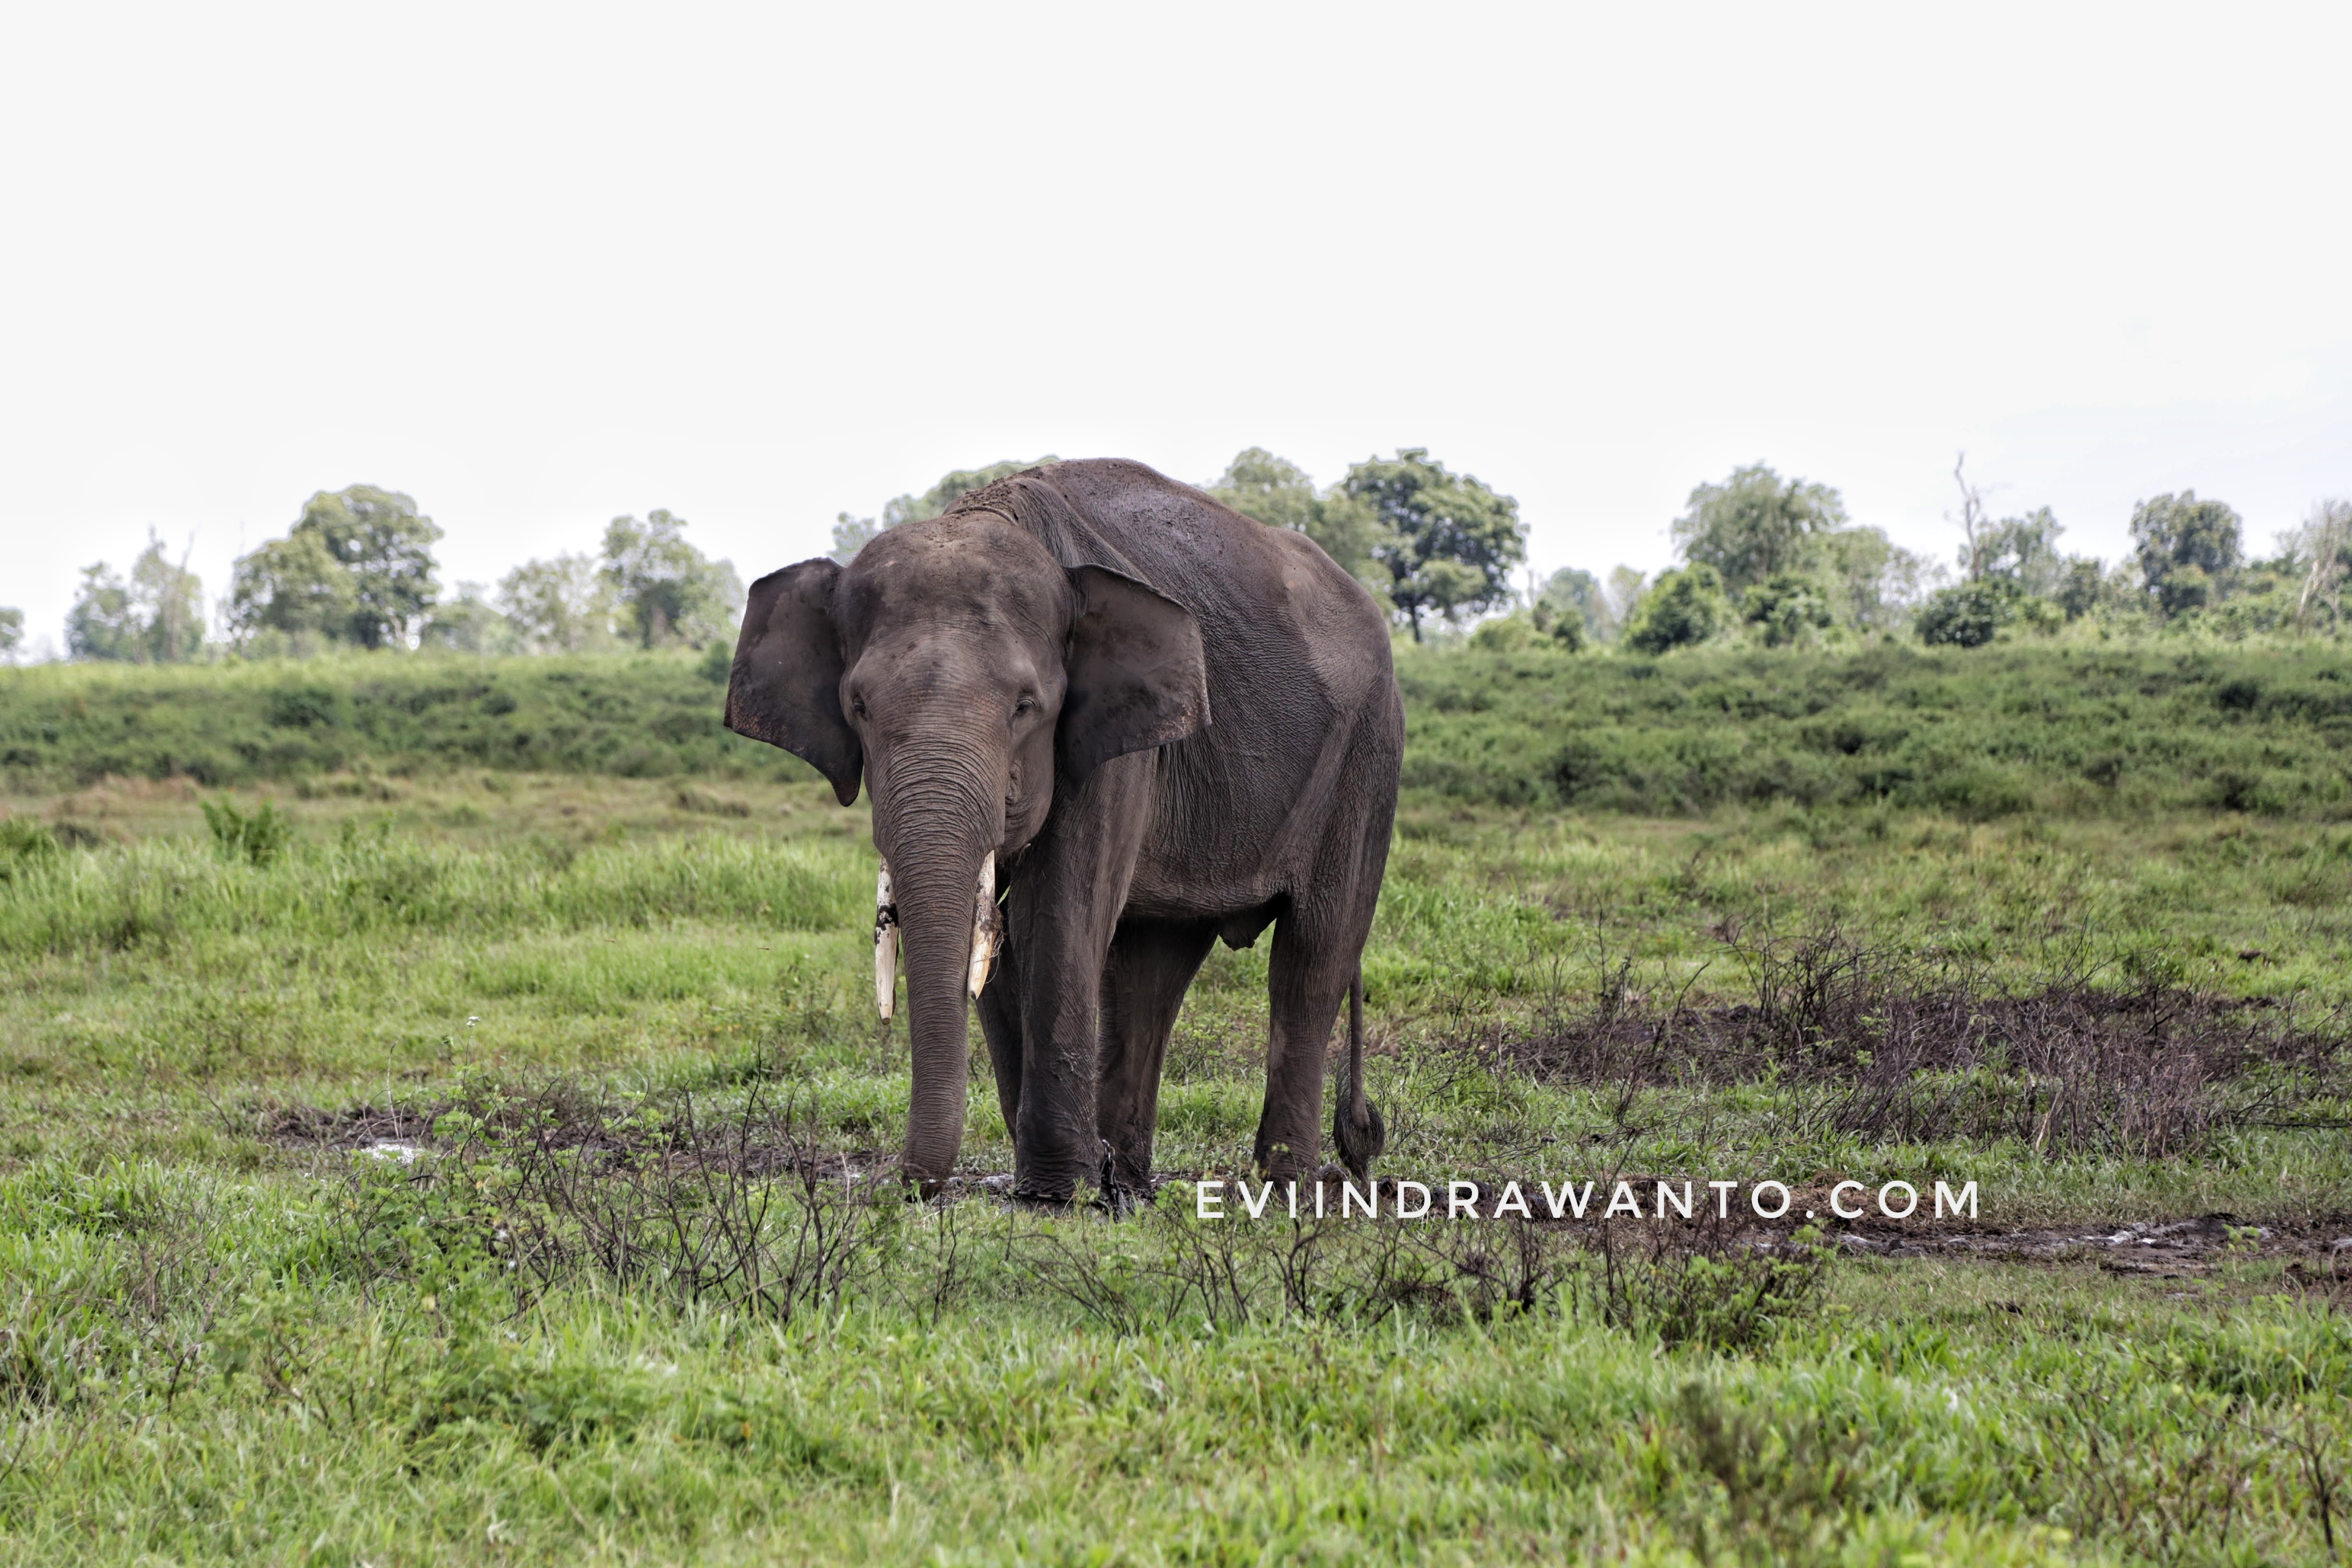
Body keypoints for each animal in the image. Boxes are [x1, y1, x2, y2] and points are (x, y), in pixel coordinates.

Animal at [724, 453, 1402, 1203]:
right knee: (1155, 965)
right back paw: (1127, 1186)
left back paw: (1285, 1188)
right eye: (858, 706)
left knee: (1313, 956)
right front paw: (1060, 1186)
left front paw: (1055, 1193)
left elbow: (1053, 915)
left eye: (1026, 706)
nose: (906, 1188)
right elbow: (993, 939)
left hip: (1367, 757)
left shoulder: (1116, 741)